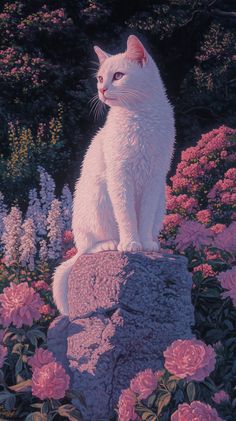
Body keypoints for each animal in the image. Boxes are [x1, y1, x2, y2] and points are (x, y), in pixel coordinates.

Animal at [53, 34, 175, 314]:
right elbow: (127, 216)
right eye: (100, 78)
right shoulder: (120, 177)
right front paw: (130, 244)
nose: (102, 90)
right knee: (87, 248)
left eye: (118, 76)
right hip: (97, 198)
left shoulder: (154, 179)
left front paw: (145, 244)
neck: (141, 115)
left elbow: (143, 217)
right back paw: (109, 244)